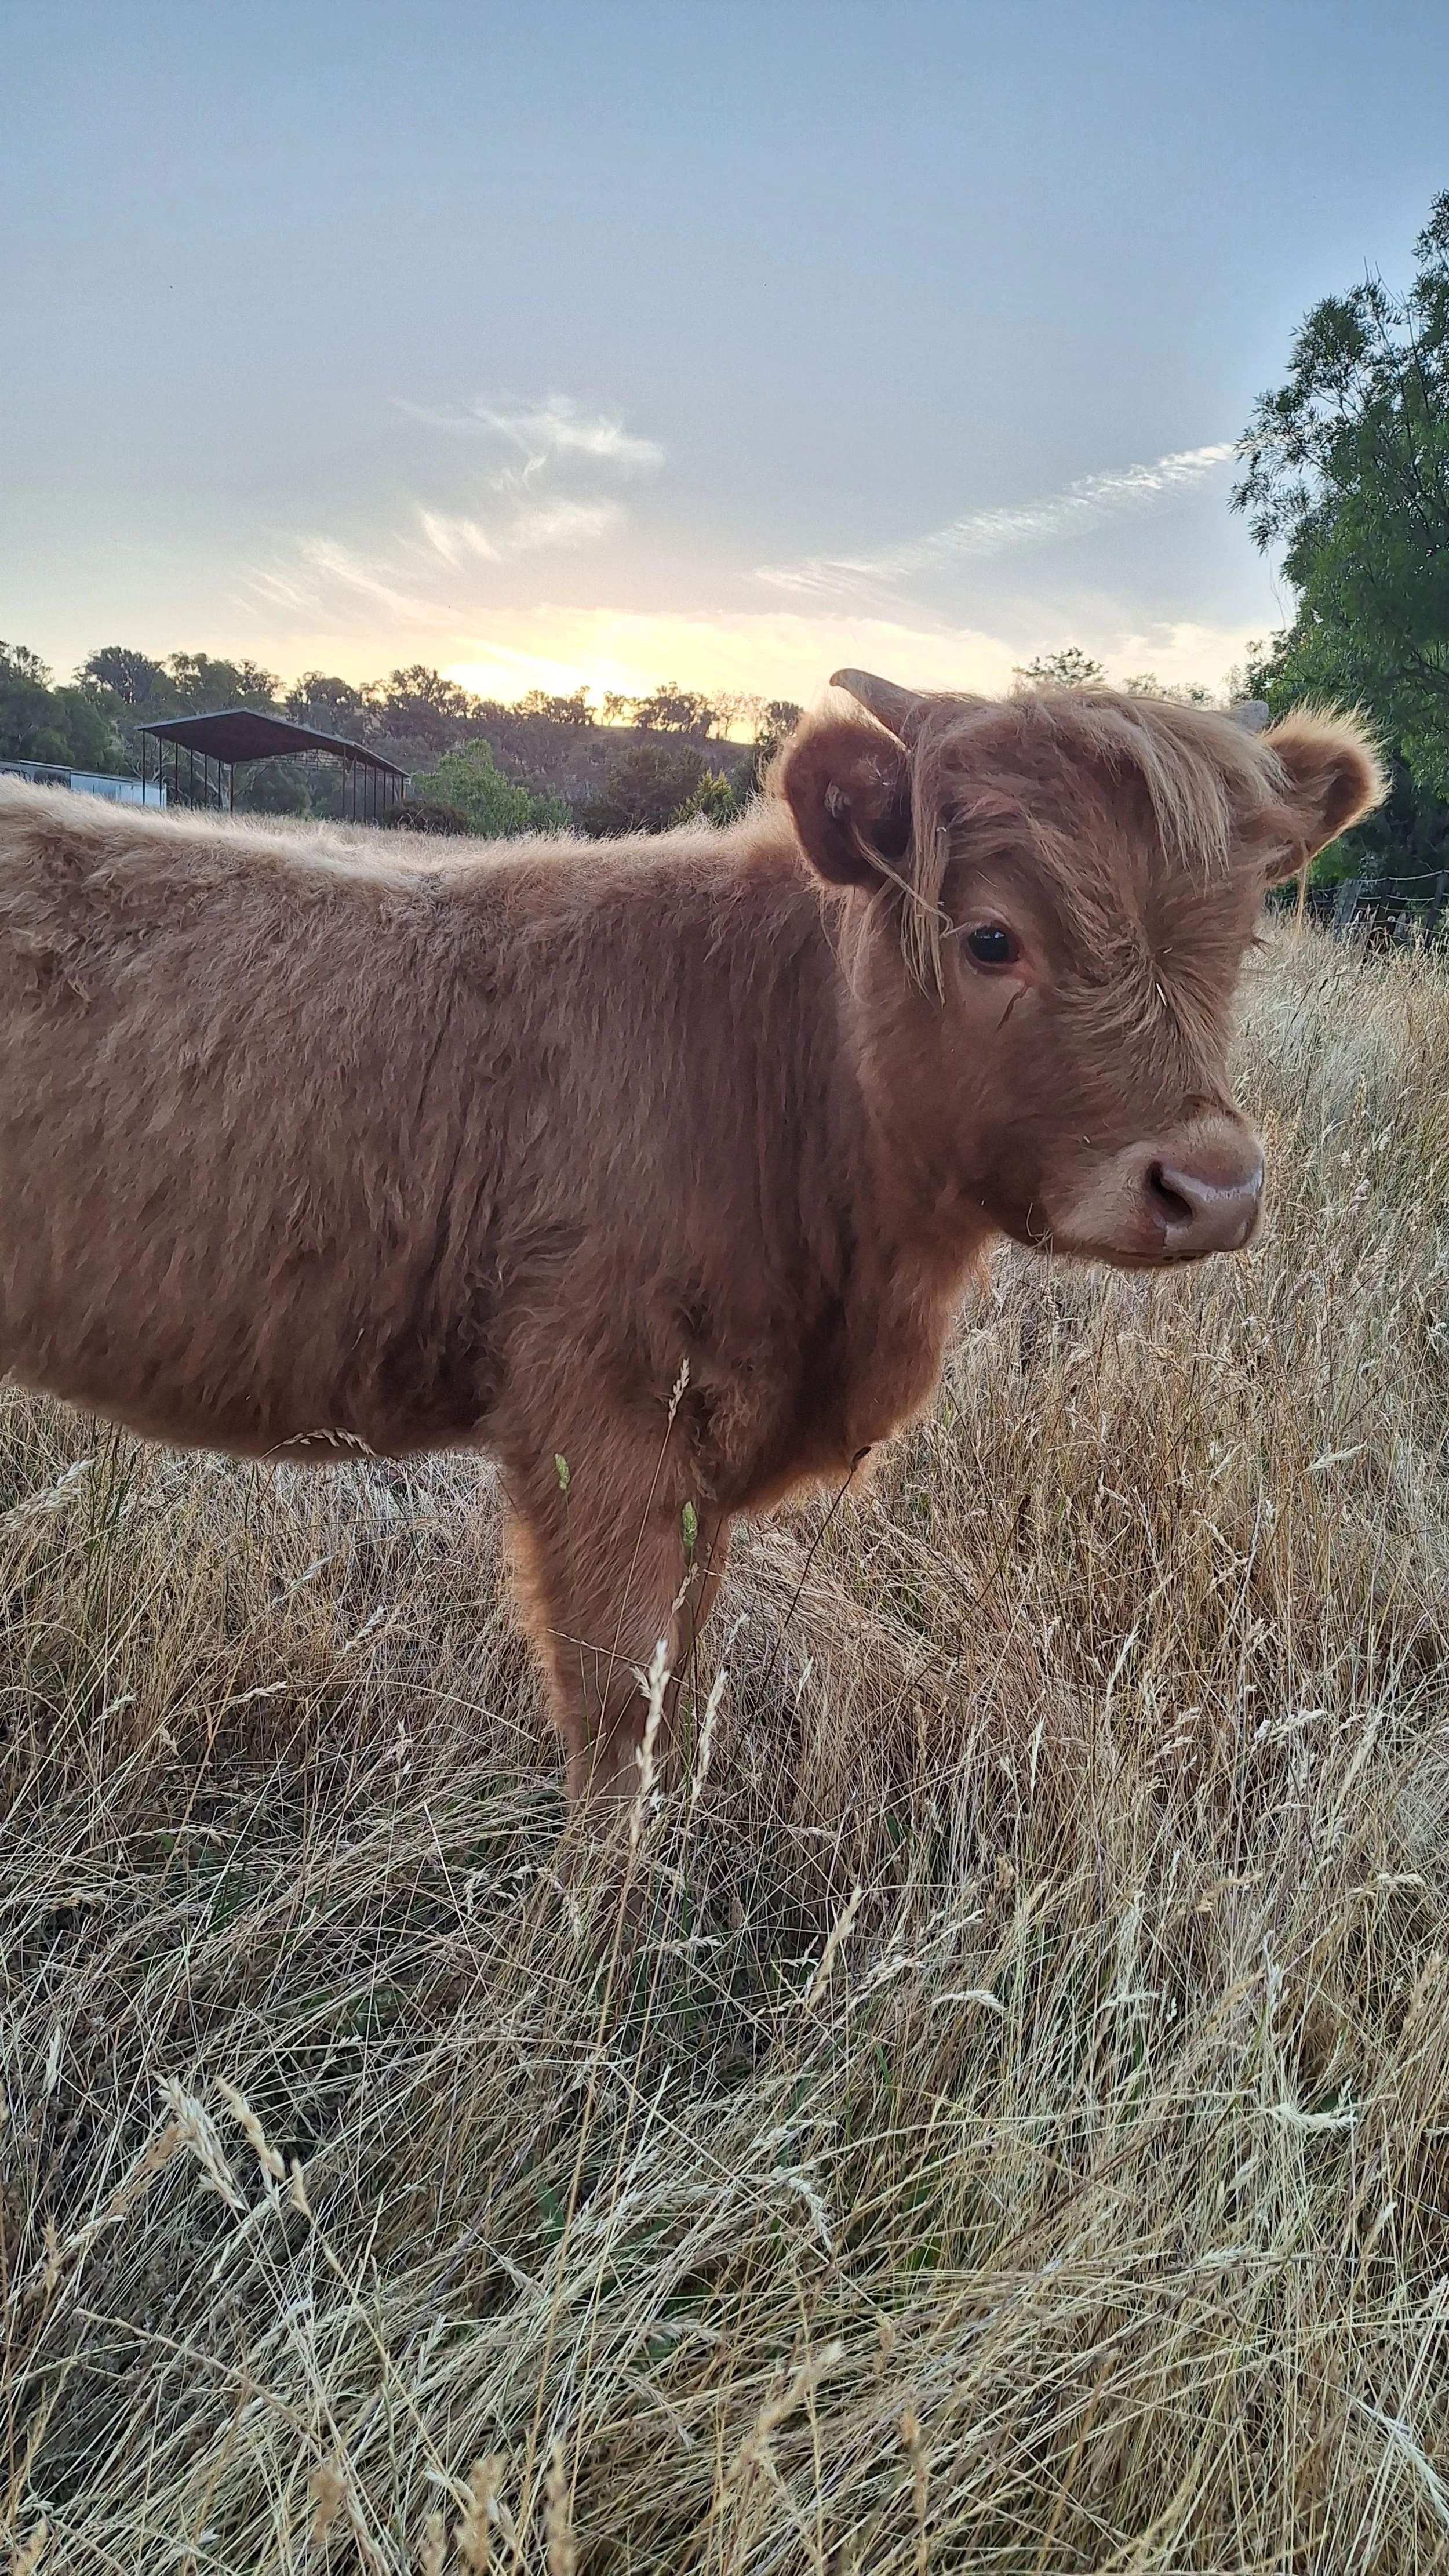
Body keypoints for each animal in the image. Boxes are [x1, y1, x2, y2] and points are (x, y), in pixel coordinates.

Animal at [0, 676, 1381, 1805]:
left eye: (1239, 939)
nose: (1211, 1187)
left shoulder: (707, 1474)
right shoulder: (603, 1428)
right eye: (991, 936)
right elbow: (624, 1716)